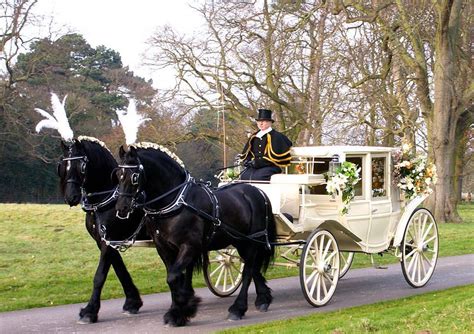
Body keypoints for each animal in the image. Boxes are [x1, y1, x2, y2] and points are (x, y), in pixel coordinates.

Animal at [58, 137, 149, 322]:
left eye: (82, 166)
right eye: (64, 166)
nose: (71, 197)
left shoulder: (109, 240)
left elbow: (100, 275)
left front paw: (90, 311)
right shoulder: (103, 241)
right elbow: (119, 268)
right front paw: (133, 302)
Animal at [115, 144, 276, 326]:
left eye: (134, 177)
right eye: (118, 175)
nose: (121, 207)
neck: (175, 203)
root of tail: (258, 191)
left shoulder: (189, 246)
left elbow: (173, 277)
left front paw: (182, 308)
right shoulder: (164, 248)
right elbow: (174, 278)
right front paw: (181, 311)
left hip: (252, 241)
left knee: (248, 271)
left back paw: (238, 308)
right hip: (241, 242)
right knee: (253, 268)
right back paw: (263, 298)